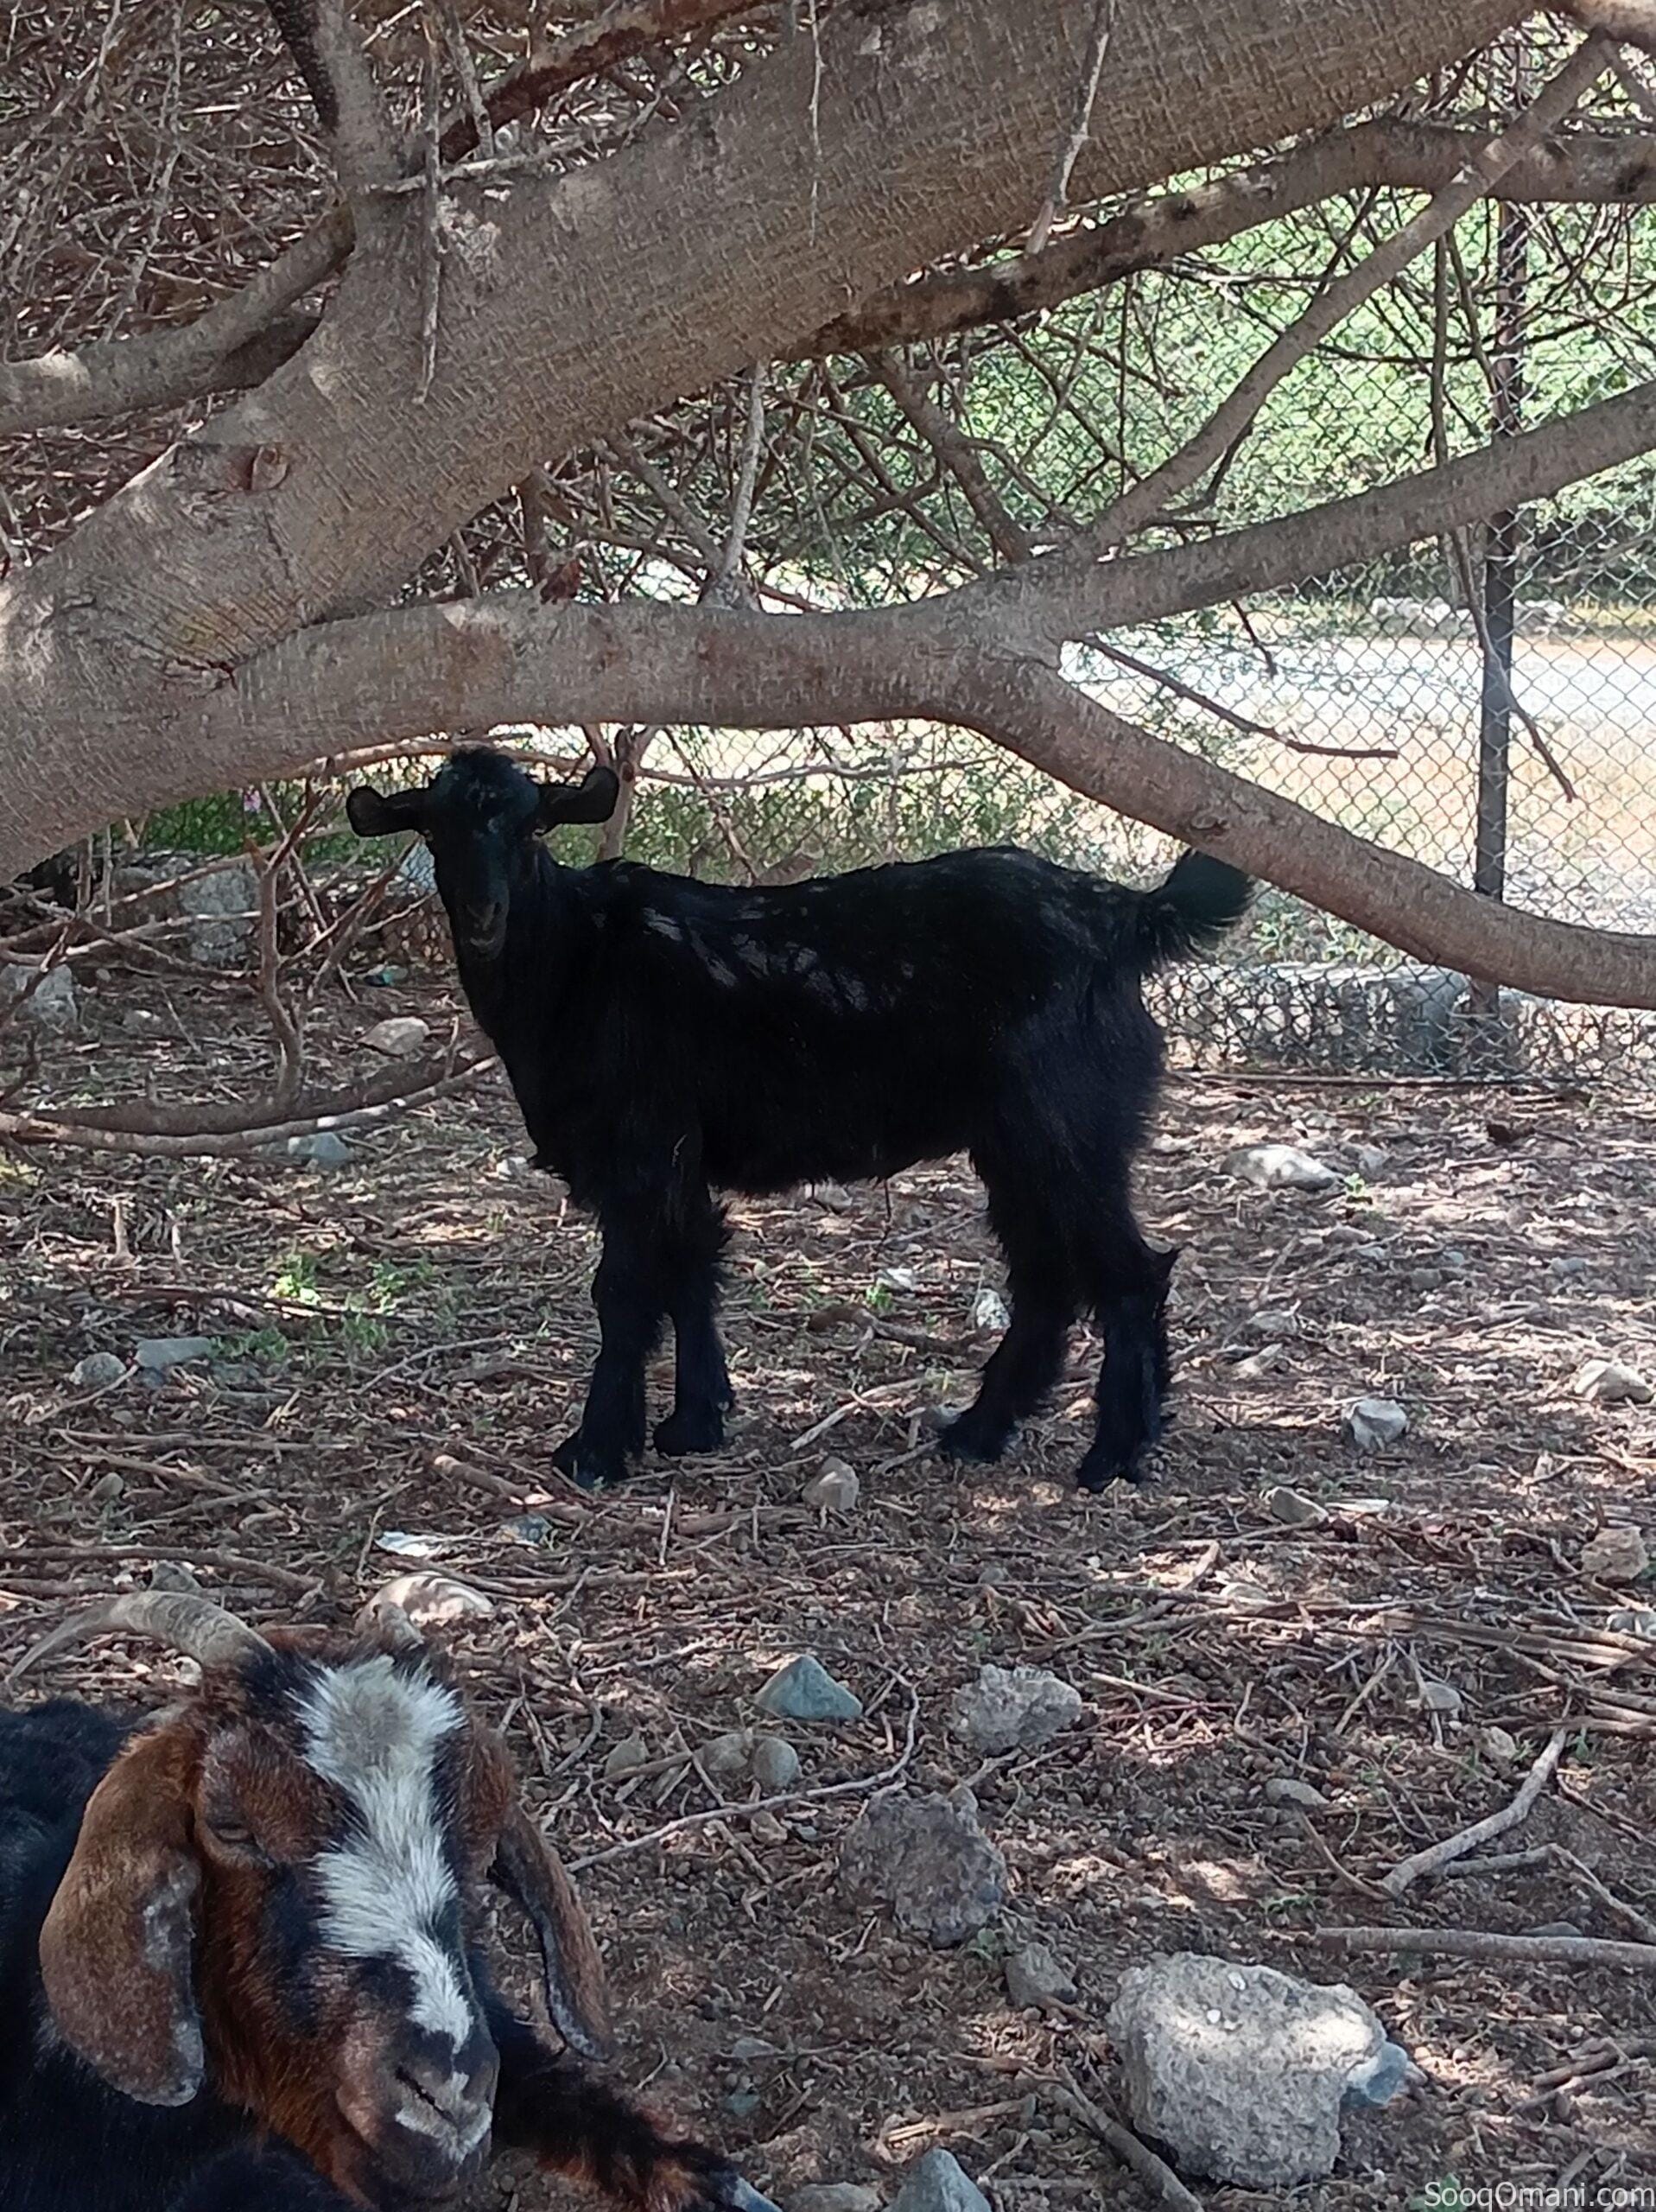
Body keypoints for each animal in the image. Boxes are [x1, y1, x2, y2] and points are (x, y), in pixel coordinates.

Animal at [346, 747, 1250, 1492]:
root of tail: (1122, 918)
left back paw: (1114, 1455)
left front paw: (597, 1450)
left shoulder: (639, 1147)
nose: (482, 915)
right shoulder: (676, 1157)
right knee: (1046, 1277)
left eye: (533, 826)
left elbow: (627, 1287)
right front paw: (695, 1422)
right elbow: (692, 1267)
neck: (576, 960)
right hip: (1017, 1142)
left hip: (1066, 1128)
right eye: (432, 829)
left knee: (1127, 1273)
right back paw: (979, 1430)